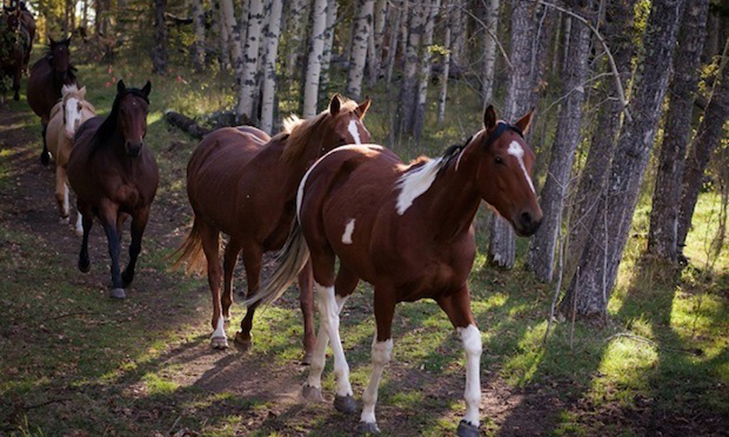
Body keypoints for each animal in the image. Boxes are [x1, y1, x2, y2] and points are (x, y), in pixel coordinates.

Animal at [27, 35, 77, 164]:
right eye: (54, 54)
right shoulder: (46, 114)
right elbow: (45, 132)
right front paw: (45, 156)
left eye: (68, 53)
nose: (61, 74)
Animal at [45, 83, 95, 233]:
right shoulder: (61, 166)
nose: (69, 132)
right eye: (63, 106)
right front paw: (64, 215)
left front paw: (80, 227)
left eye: (80, 106)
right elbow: (60, 193)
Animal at [67, 81, 158, 300]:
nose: (134, 146)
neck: (130, 168)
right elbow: (114, 245)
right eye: (122, 110)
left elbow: (134, 246)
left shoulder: (142, 209)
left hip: (122, 213)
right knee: (88, 225)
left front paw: (127, 276)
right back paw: (84, 262)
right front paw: (118, 284)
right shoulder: (107, 204)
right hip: (84, 200)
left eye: (145, 111)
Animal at [174, 93, 372, 360]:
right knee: (215, 273)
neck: (283, 184)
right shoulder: (253, 247)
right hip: (208, 225)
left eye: (366, 136)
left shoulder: (304, 251)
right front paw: (244, 335)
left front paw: (309, 347)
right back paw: (218, 332)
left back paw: (226, 311)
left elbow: (306, 299)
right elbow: (254, 292)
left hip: (235, 234)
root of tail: (206, 145)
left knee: (229, 261)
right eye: (341, 138)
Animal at [250, 106, 540, 436]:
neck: (434, 222)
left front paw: (470, 419)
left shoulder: (454, 291)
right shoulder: (386, 292)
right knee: (329, 311)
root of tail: (325, 161)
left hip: (351, 267)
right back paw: (344, 390)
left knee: (332, 308)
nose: (531, 218)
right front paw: (368, 414)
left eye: (530, 158)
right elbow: (382, 350)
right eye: (499, 159)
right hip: (322, 253)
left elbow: (473, 342)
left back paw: (315, 383)